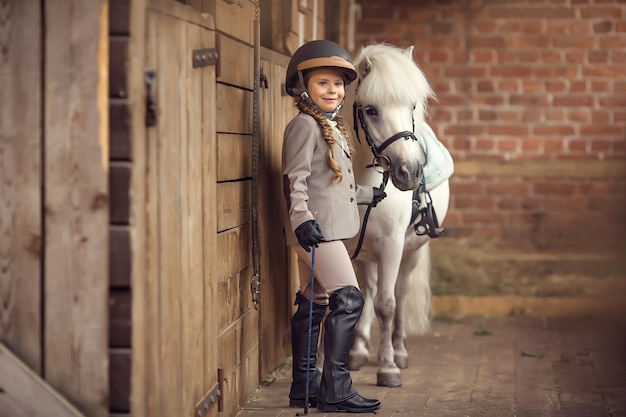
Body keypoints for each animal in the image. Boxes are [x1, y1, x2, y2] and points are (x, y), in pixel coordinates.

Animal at [344, 43, 450, 386]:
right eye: (371, 110)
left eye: (412, 106)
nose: (410, 172)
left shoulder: (392, 245)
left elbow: (388, 305)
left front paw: (388, 365)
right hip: (367, 253)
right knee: (372, 289)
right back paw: (359, 349)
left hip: (411, 251)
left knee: (400, 293)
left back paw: (400, 350)